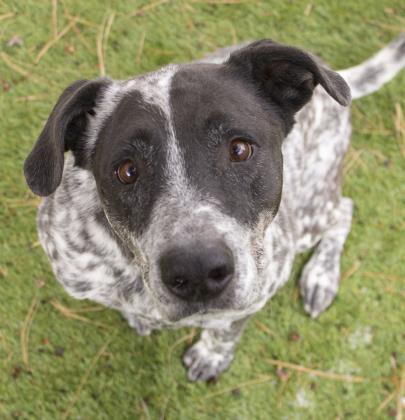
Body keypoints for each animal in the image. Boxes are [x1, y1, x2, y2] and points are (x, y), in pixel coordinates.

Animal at [23, 36, 402, 382]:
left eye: (239, 149)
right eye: (127, 171)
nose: (197, 272)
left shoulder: (259, 286)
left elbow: (228, 328)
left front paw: (211, 354)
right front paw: (137, 317)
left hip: (311, 210)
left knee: (344, 209)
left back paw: (321, 276)